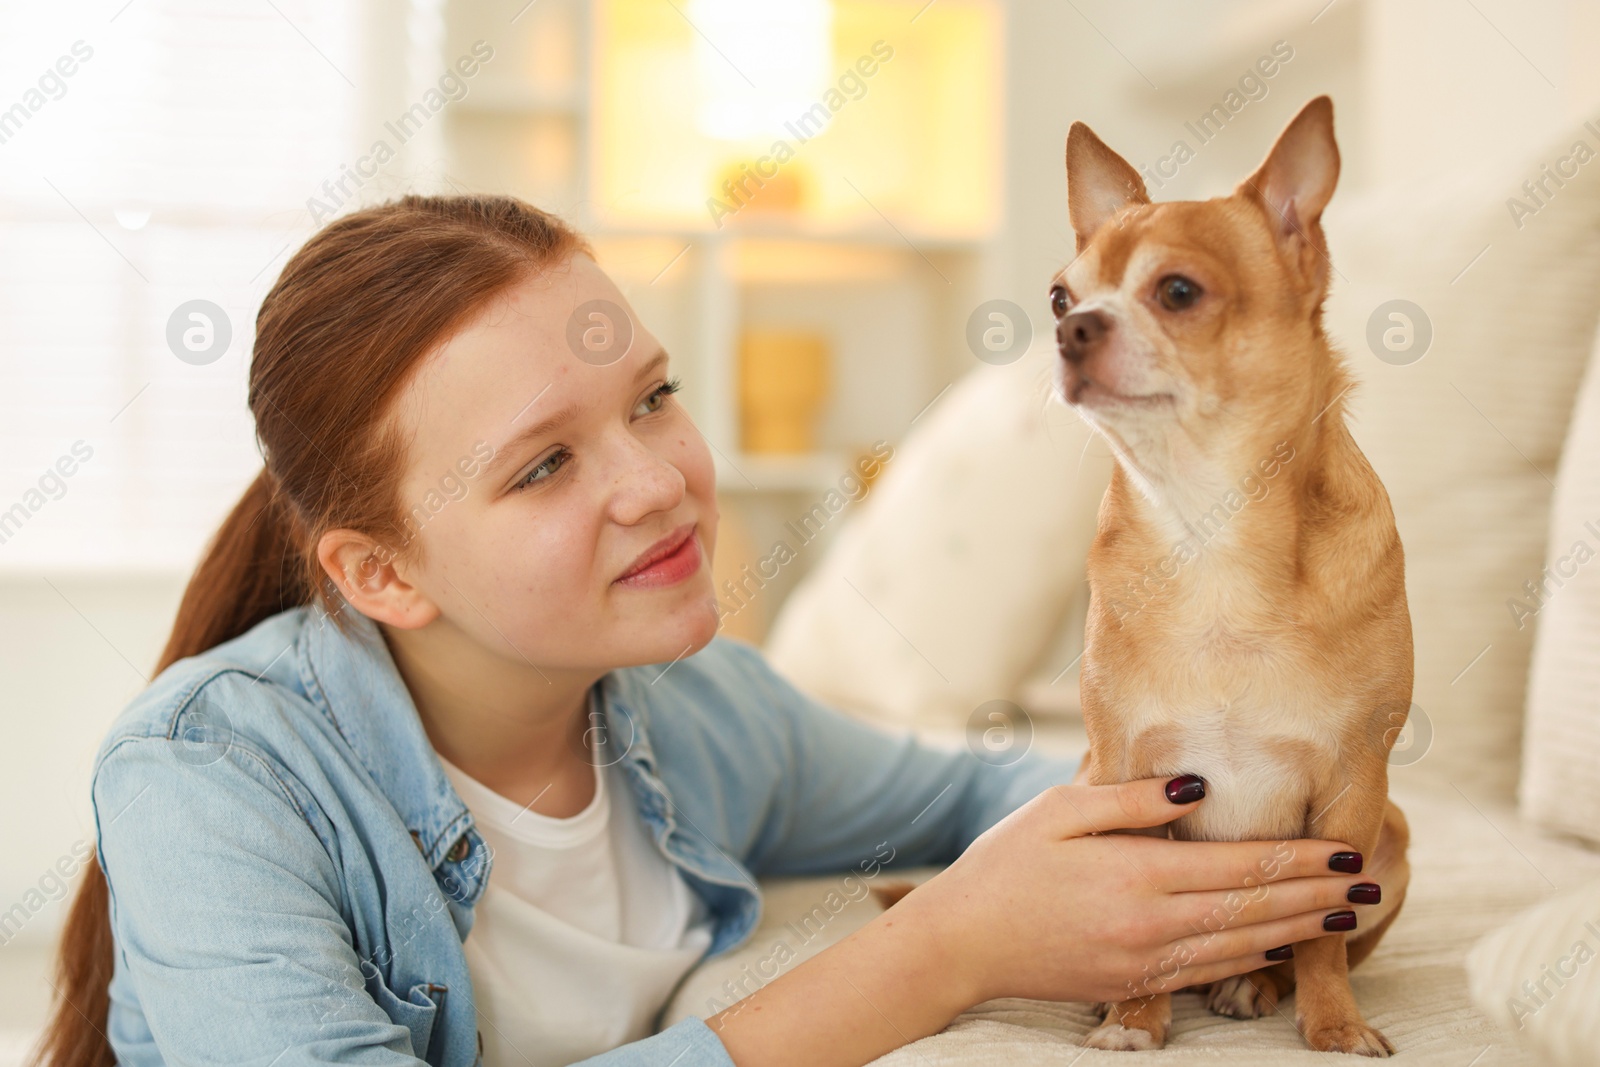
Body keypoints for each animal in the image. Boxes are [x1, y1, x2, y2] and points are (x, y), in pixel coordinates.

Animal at [1049, 95, 1414, 1055]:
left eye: (1178, 292)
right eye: (1060, 295)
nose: (1070, 327)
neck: (1207, 526)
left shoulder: (1354, 790)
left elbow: (1325, 931)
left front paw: (1333, 1025)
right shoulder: (1124, 776)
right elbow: (1138, 923)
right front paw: (1133, 1021)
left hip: (1393, 839)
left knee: (1298, 947)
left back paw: (1252, 982)